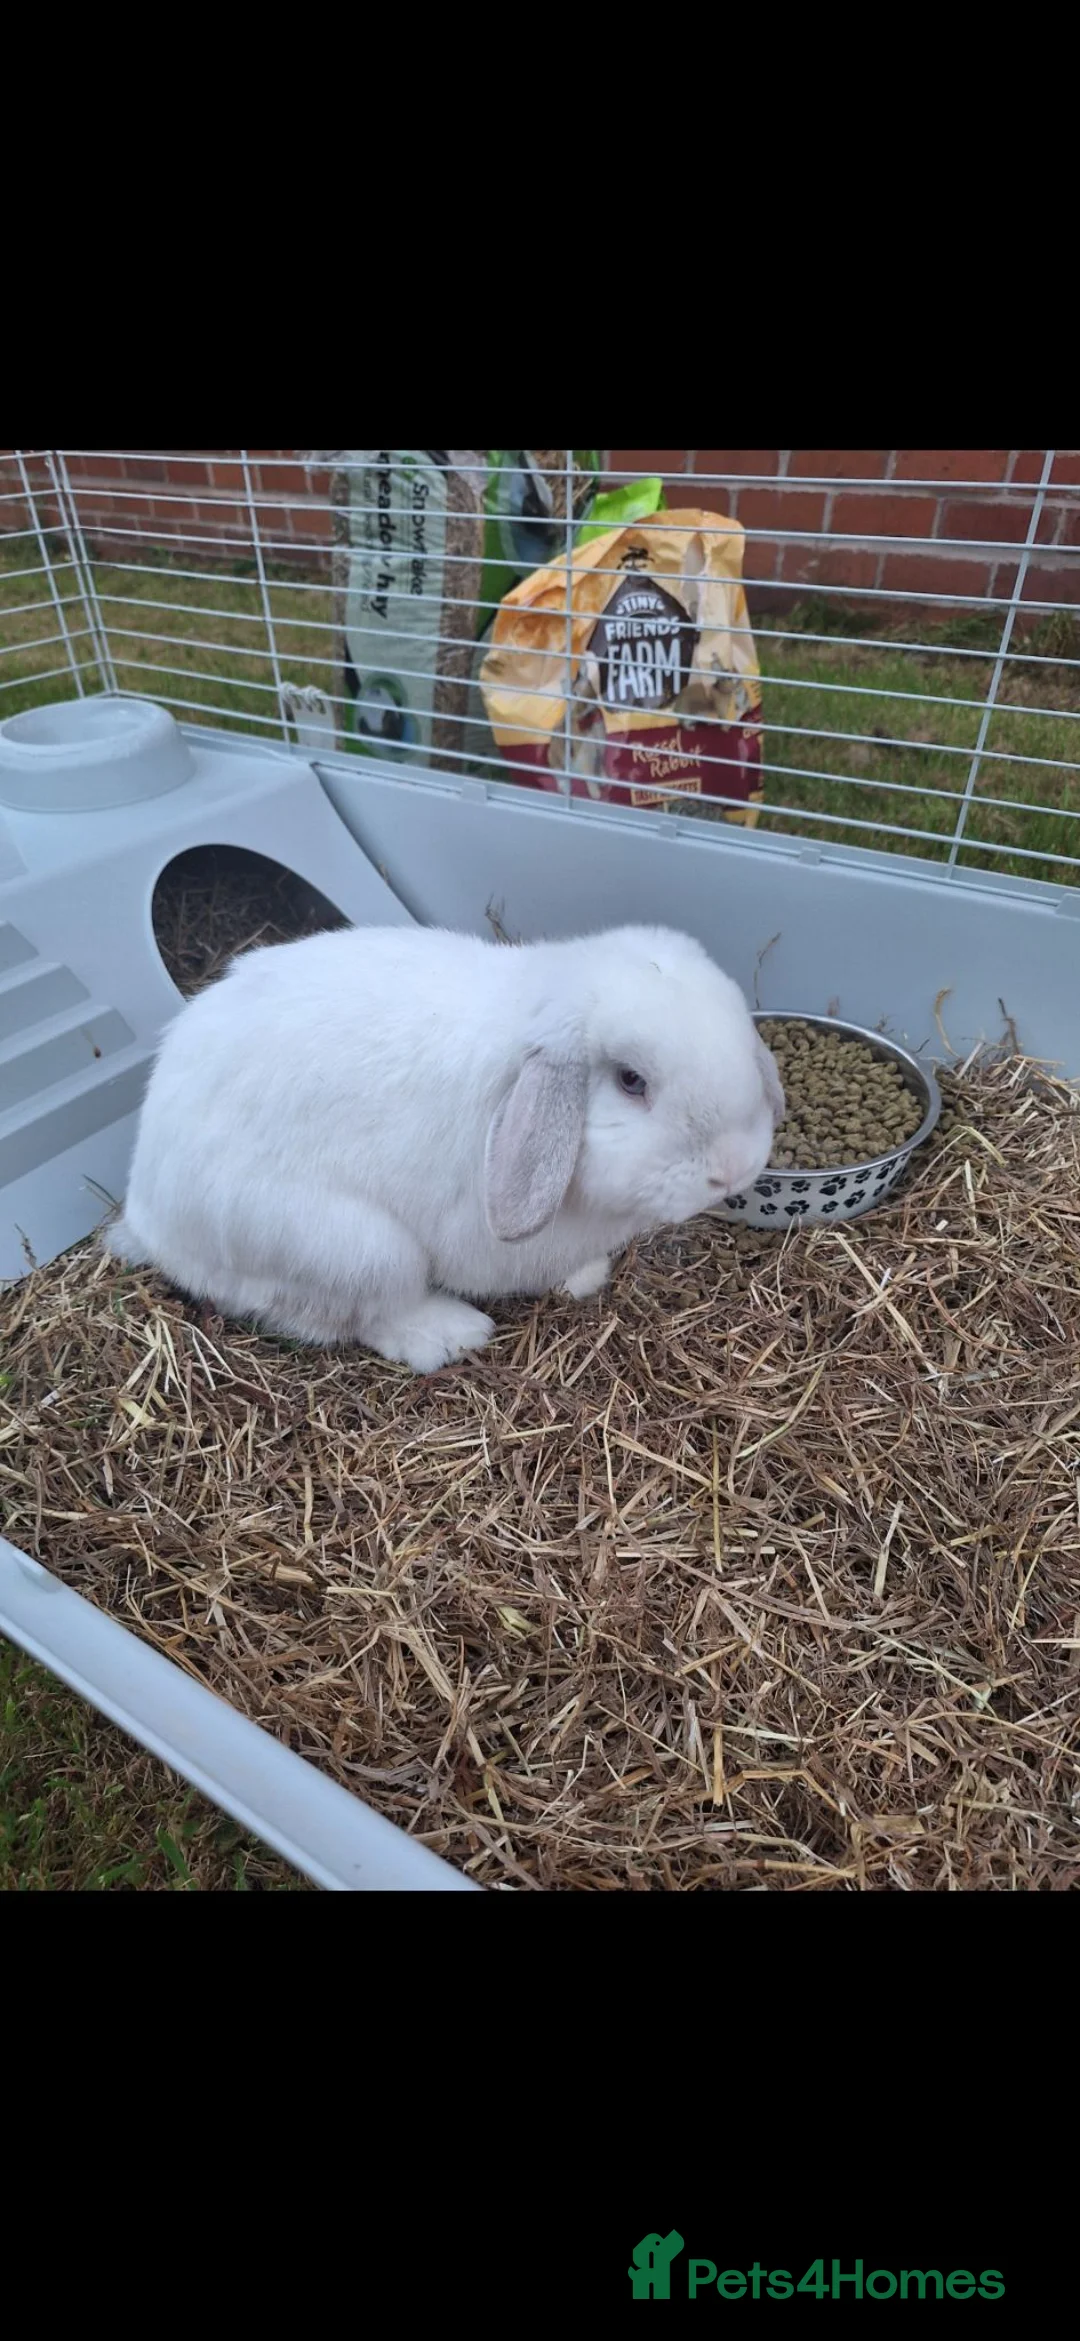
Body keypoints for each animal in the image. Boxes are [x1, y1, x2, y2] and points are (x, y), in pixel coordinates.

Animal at [106, 923, 784, 1374]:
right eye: (631, 1081)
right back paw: (452, 1335)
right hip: (357, 1248)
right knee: (355, 1317)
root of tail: (147, 1218)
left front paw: (585, 1279)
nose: (733, 1170)